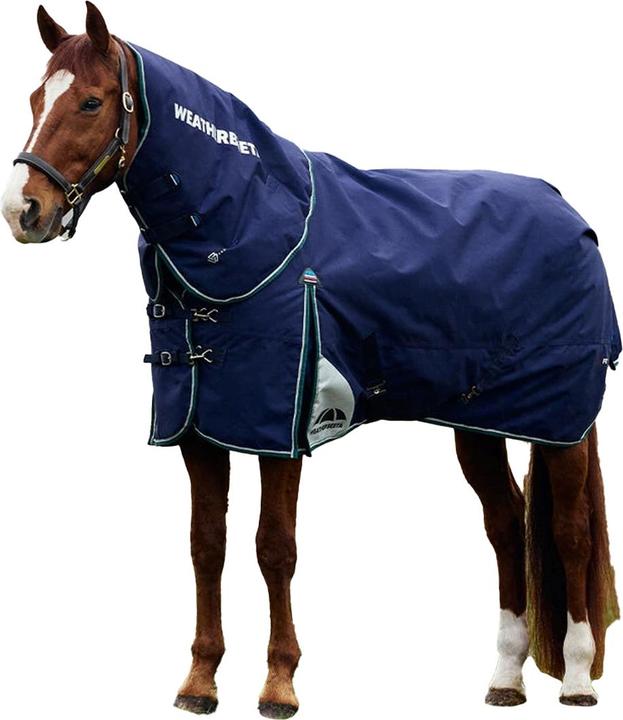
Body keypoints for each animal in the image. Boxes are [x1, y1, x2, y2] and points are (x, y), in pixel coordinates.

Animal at [2, 3, 619, 716]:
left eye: (92, 101)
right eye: (35, 99)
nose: (23, 211)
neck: (253, 228)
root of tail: (573, 217)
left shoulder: (280, 428)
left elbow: (275, 547)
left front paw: (279, 683)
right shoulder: (200, 429)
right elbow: (206, 546)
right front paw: (200, 681)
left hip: (558, 424)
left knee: (571, 531)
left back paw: (576, 678)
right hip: (480, 424)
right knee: (506, 523)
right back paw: (505, 677)